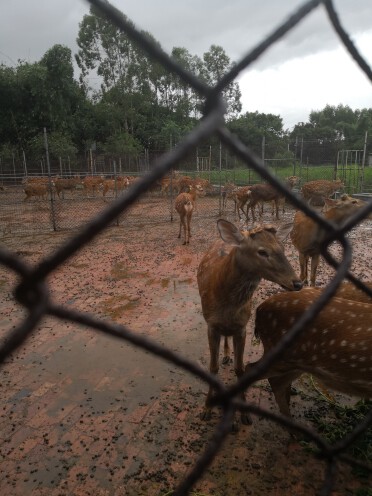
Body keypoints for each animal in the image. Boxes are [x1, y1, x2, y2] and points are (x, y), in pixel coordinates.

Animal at [198, 219, 302, 428]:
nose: (297, 283)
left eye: (283, 248)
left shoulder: (242, 326)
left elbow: (240, 368)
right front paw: (206, 408)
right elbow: (213, 368)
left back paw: (227, 354)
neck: (227, 307)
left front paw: (245, 414)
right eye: (262, 252)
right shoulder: (211, 325)